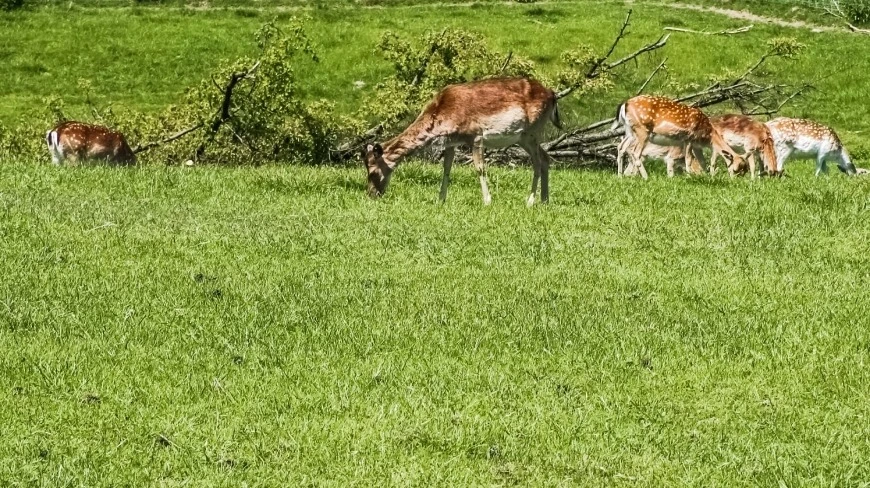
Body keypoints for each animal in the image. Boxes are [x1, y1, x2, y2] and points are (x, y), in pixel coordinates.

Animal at [362, 76, 564, 206]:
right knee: (545, 158)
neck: (443, 114)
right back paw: (545, 201)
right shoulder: (452, 141)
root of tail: (553, 95)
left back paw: (530, 201)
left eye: (372, 172)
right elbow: (446, 168)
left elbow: (480, 168)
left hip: (532, 131)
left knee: (537, 162)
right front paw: (440, 200)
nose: (371, 194)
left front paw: (487, 202)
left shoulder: (476, 135)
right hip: (524, 138)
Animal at [612, 95, 748, 179]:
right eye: (736, 169)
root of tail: (624, 104)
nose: (736, 181)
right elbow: (688, 160)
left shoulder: (696, 145)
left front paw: (705, 176)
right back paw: (646, 177)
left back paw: (620, 176)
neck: (708, 136)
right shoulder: (688, 138)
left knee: (621, 146)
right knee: (636, 152)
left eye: (744, 171)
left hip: (629, 131)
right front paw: (690, 177)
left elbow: (702, 162)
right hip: (642, 130)